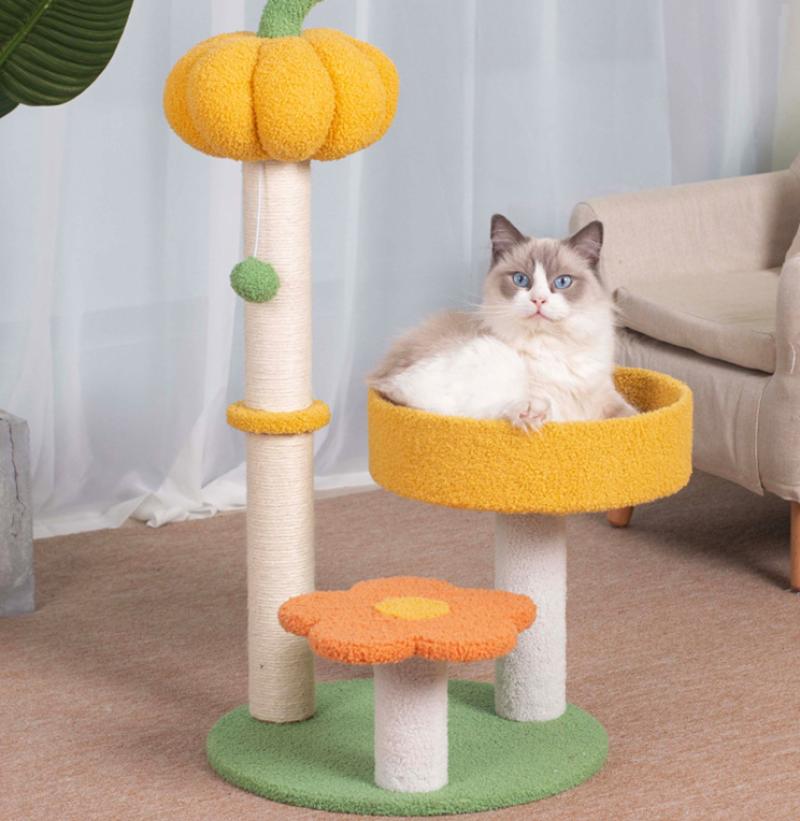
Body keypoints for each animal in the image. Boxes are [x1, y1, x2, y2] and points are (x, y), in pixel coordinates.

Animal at [368, 214, 636, 430]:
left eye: (562, 282)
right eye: (521, 279)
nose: (538, 300)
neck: (554, 345)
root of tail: (382, 379)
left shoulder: (604, 394)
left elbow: (631, 415)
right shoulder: (556, 401)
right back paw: (528, 414)